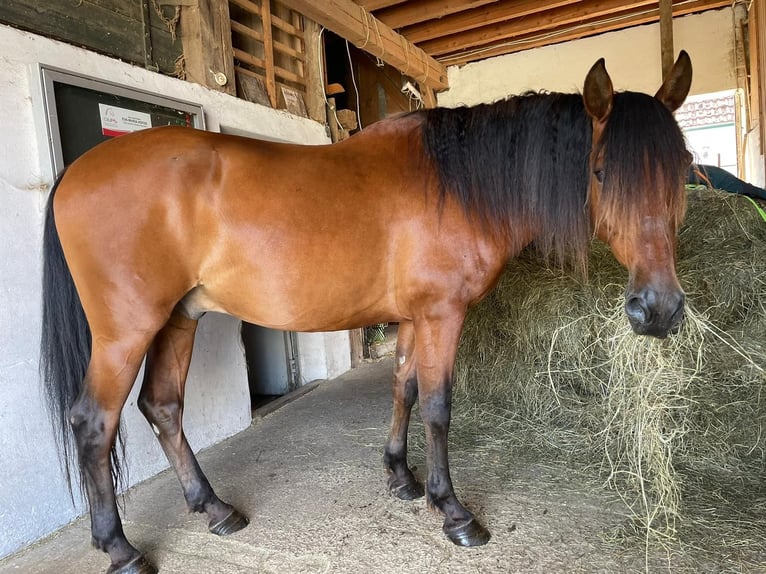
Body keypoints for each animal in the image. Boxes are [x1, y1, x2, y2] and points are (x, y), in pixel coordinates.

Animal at [39, 54, 692, 574]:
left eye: (683, 168)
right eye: (602, 171)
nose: (657, 309)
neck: (458, 185)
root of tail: (77, 172)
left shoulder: (413, 319)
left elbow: (403, 388)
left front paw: (401, 477)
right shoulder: (442, 315)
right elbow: (438, 405)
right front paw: (453, 512)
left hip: (179, 318)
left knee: (163, 407)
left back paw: (215, 509)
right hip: (126, 331)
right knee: (94, 422)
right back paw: (121, 548)